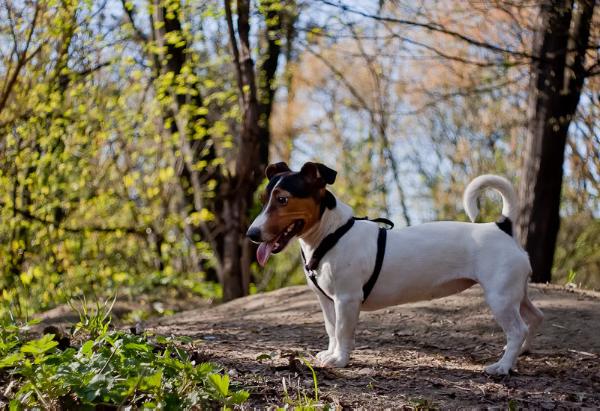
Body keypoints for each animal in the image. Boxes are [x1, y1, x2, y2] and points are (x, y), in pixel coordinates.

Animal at [246, 162, 548, 376]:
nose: (251, 234)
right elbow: (332, 330)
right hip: (515, 293)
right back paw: (519, 353)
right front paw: (331, 354)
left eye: (283, 200)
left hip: (499, 297)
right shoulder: (327, 301)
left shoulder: (347, 299)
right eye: (263, 199)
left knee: (517, 329)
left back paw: (503, 366)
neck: (331, 234)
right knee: (534, 318)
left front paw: (340, 360)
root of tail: (501, 226)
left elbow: (343, 332)